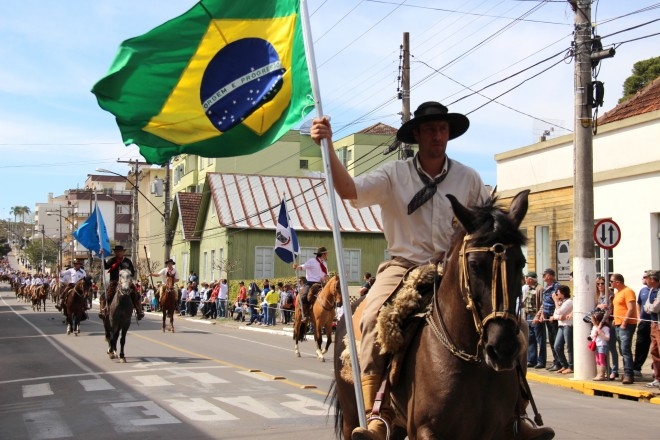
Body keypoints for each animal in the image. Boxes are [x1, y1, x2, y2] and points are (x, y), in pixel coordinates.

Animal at [332, 190, 532, 440]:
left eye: (521, 263)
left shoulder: (496, 431)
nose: (503, 348)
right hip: (351, 415)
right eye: (474, 265)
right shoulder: (426, 430)